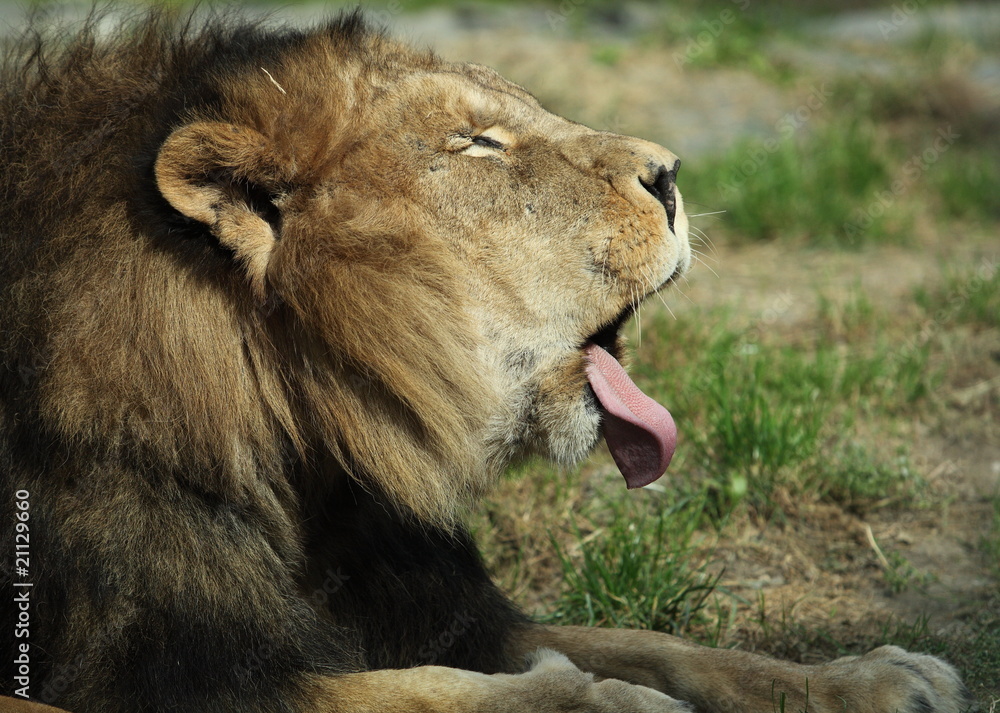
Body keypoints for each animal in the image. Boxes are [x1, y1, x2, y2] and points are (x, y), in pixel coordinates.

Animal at [0, 9, 971, 713]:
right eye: (478, 144)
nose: (671, 173)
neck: (310, 451)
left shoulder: (443, 608)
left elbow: (651, 643)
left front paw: (873, 676)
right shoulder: (160, 675)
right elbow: (448, 694)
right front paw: (605, 703)